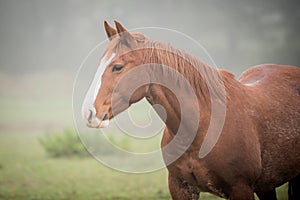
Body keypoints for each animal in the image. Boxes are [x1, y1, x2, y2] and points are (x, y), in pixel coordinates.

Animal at [82, 21, 300, 199]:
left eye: (117, 67)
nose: (88, 113)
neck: (200, 126)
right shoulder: (181, 188)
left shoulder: (241, 189)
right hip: (266, 186)